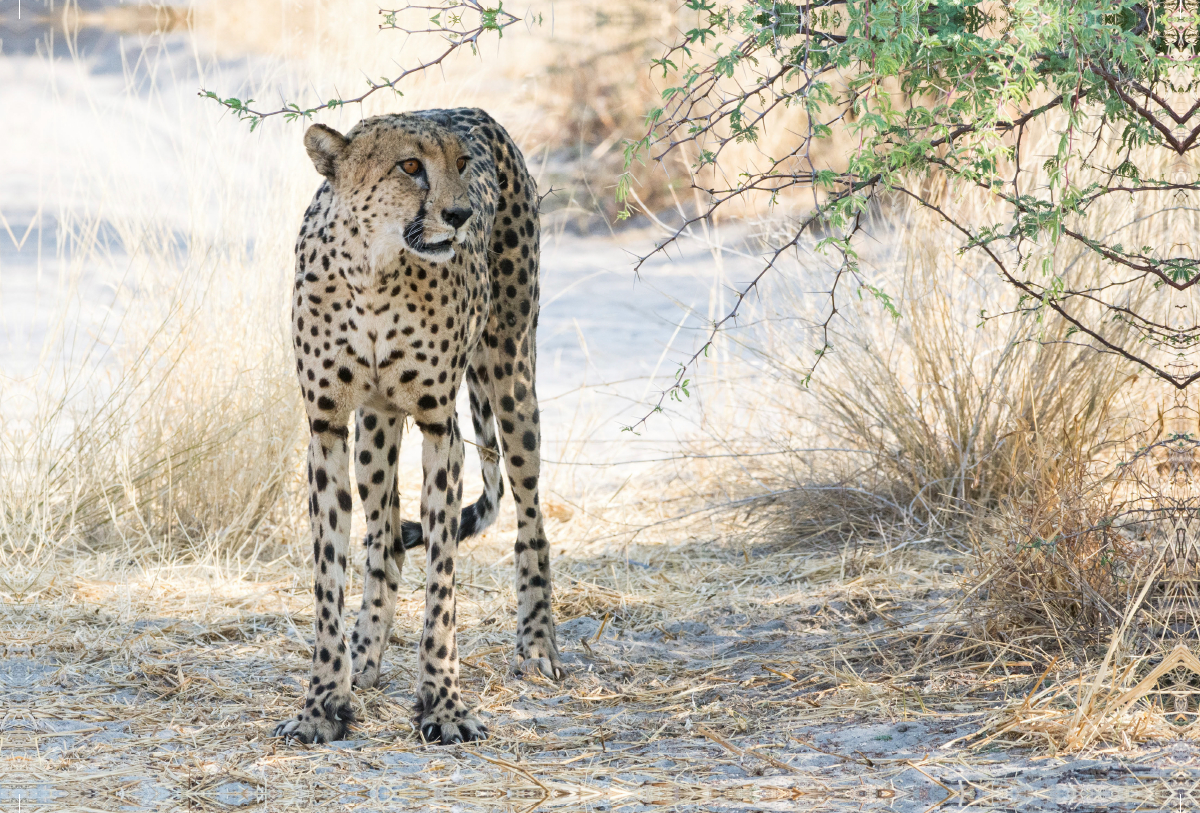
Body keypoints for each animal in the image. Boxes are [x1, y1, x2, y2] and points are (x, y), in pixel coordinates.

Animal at [276, 111, 561, 748]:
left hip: (511, 377)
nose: (459, 214)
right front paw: (324, 702)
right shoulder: (327, 428)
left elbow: (443, 583)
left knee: (530, 521)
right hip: (375, 429)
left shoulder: (439, 427)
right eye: (409, 166)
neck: (374, 271)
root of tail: (480, 113)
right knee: (384, 541)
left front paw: (444, 705)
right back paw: (364, 656)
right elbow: (327, 577)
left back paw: (536, 646)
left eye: (461, 163)